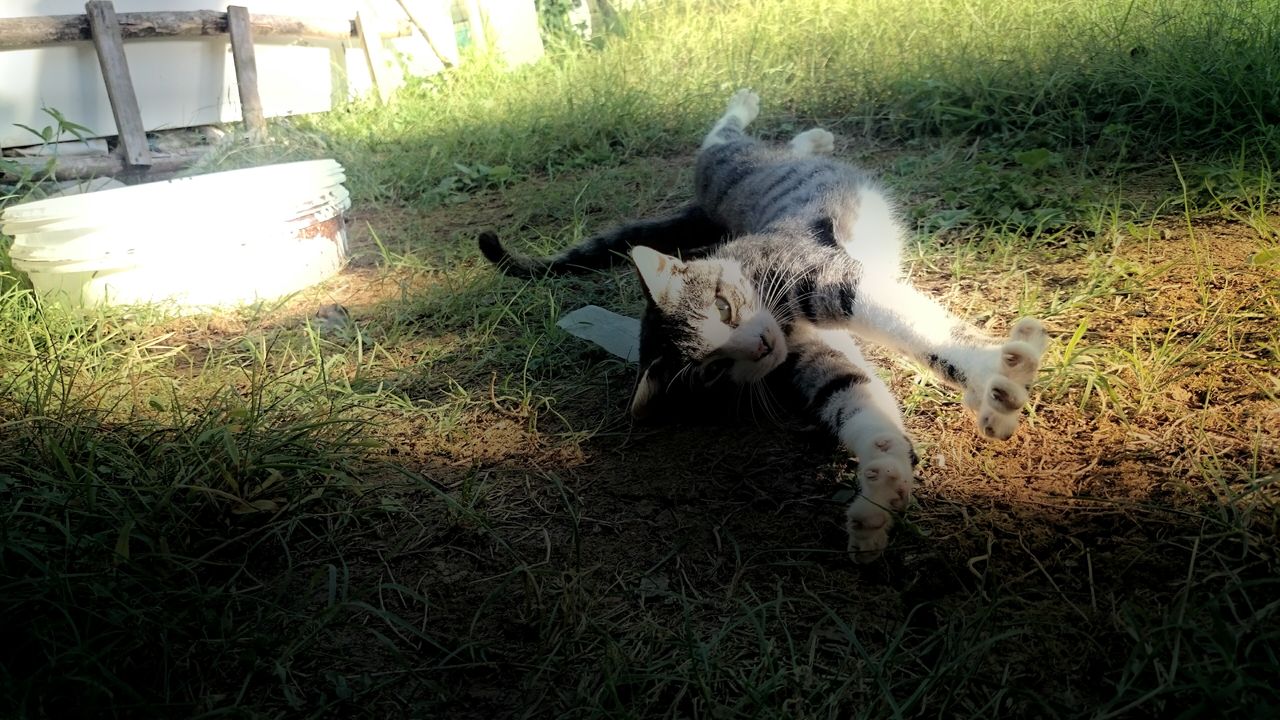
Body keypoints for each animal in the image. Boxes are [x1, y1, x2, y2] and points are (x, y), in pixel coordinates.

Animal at [476, 90, 1044, 561]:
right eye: (712, 372)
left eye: (724, 309)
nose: (760, 344)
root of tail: (705, 207)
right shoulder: (808, 356)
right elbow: (851, 395)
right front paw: (880, 493)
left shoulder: (822, 273)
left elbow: (907, 320)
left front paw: (993, 376)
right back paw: (810, 137)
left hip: (728, 164)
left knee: (722, 137)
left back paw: (754, 107)